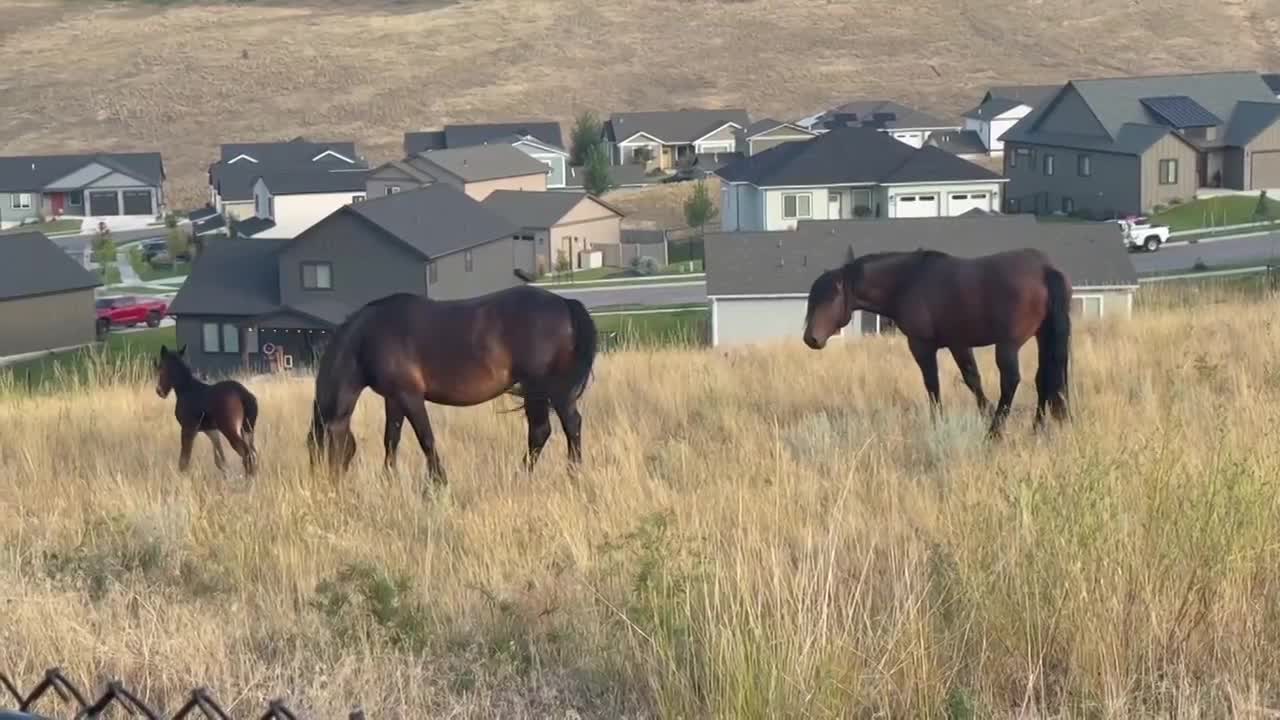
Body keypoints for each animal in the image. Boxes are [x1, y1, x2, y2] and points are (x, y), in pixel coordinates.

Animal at [154, 344, 259, 476]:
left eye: (161, 368)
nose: (159, 391)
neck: (186, 390)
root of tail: (243, 394)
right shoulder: (210, 430)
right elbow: (220, 458)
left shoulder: (188, 428)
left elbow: (184, 460)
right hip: (247, 429)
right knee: (254, 453)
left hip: (231, 429)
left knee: (247, 453)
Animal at [305, 284, 598, 487]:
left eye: (319, 449)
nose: (325, 488)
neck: (368, 338)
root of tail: (565, 303)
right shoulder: (393, 397)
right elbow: (391, 439)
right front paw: (387, 480)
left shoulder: (409, 395)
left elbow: (425, 438)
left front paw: (439, 482)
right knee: (555, 428)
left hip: (544, 387)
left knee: (555, 428)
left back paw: (552, 475)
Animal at [802, 246, 1072, 437]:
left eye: (831, 297)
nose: (810, 338)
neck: (908, 281)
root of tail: (1044, 269)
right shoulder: (958, 343)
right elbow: (973, 380)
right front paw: (984, 412)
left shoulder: (922, 345)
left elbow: (933, 385)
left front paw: (938, 423)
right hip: (1043, 336)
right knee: (1045, 378)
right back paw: (1037, 428)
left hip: (1008, 345)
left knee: (1012, 381)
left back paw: (995, 432)